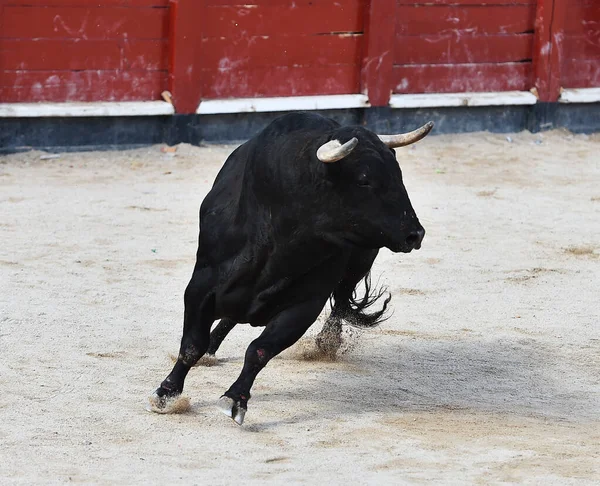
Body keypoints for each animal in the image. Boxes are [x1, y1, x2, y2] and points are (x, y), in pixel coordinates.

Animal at [149, 112, 432, 424]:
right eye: (364, 180)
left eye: (398, 174)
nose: (415, 234)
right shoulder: (201, 286)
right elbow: (191, 345)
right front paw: (167, 393)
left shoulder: (303, 307)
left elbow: (259, 350)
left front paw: (236, 398)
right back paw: (213, 347)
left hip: (359, 263)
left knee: (340, 301)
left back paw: (327, 341)